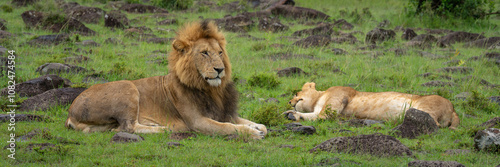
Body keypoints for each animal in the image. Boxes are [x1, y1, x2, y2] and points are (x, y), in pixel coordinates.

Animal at [67, 20, 270, 138]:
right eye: (204, 53)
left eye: (220, 53)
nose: (220, 69)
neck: (211, 89)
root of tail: (70, 112)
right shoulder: (197, 122)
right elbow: (229, 127)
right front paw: (252, 133)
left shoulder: (225, 113)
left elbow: (256, 123)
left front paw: (258, 128)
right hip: (127, 87)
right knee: (128, 127)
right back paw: (165, 129)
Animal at [284, 82, 458, 129]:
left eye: (296, 93)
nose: (290, 102)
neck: (318, 98)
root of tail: (453, 108)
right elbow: (309, 116)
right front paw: (290, 115)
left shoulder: (340, 96)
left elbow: (323, 116)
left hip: (423, 107)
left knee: (433, 124)